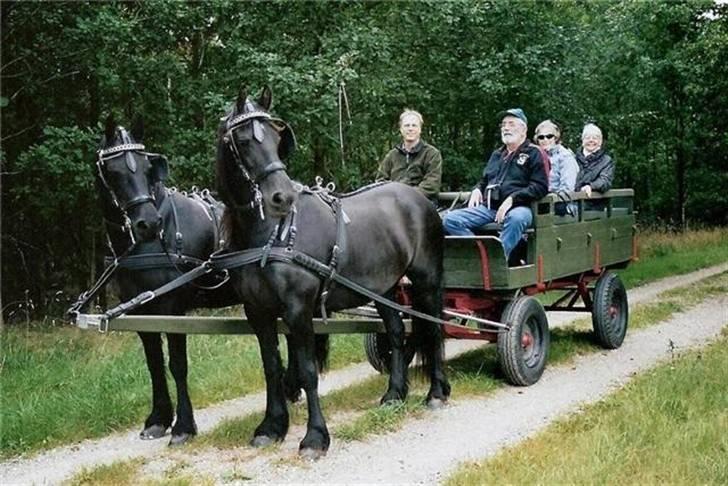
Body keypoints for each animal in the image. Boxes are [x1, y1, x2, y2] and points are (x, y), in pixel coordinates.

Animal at [215, 88, 450, 460]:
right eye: (243, 139)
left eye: (277, 137)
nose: (282, 197)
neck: (271, 233)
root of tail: (418, 199)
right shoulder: (258, 312)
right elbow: (271, 368)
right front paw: (271, 427)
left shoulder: (298, 309)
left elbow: (308, 371)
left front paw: (315, 437)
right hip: (381, 288)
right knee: (396, 332)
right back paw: (394, 394)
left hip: (427, 280)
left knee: (434, 328)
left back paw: (437, 392)